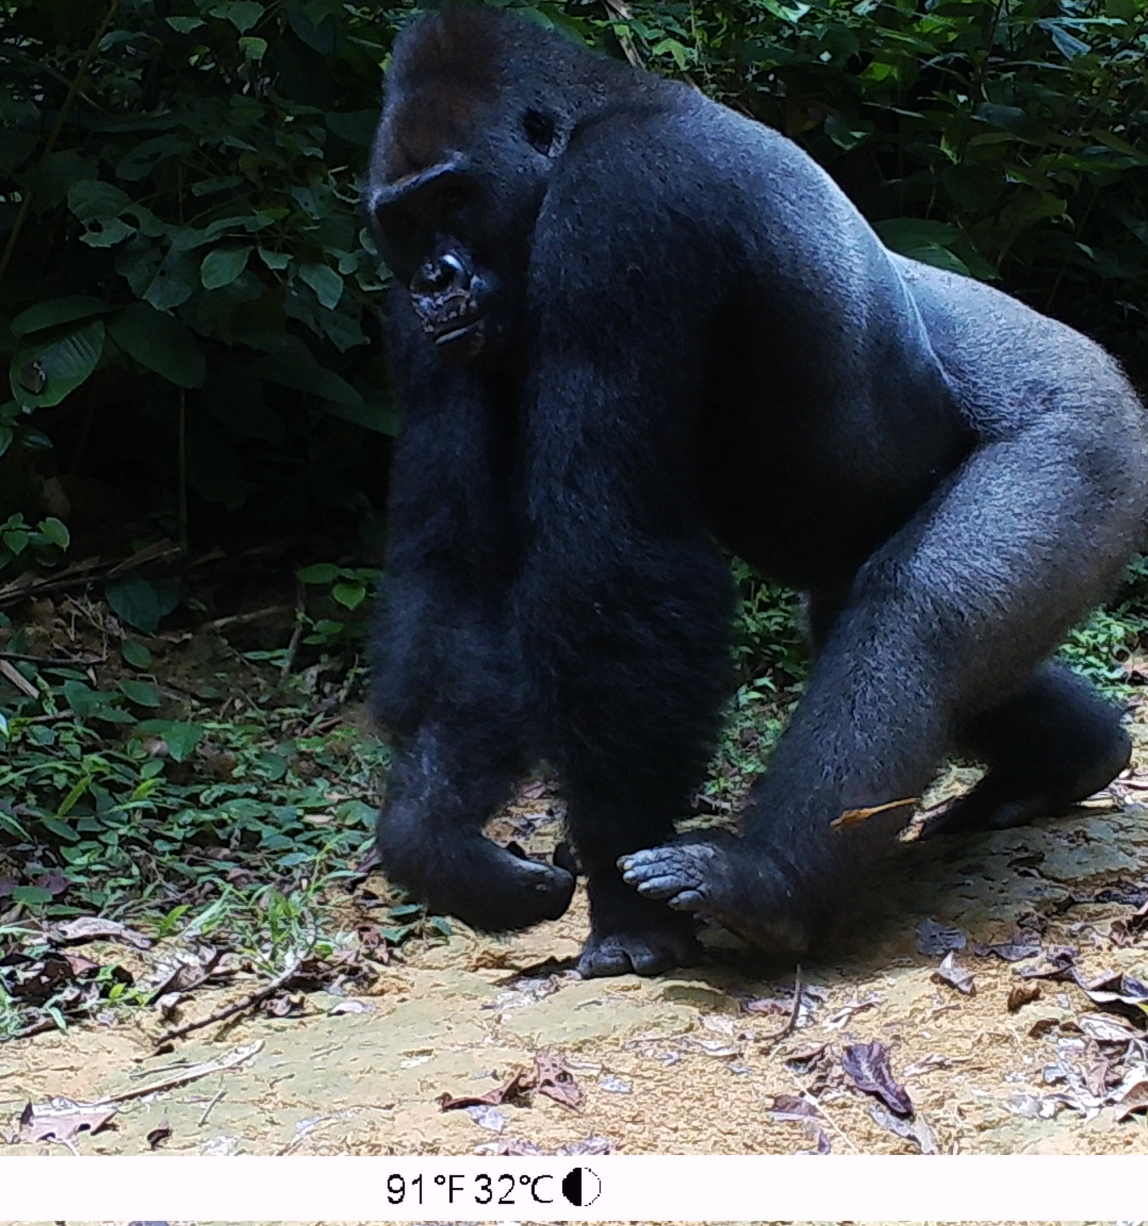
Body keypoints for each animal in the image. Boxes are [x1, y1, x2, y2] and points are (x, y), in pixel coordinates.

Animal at [365, 2, 1148, 975]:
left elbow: (612, 558)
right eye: (404, 220)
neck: (588, 118)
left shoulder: (626, 203)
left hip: (1090, 432)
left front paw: (625, 907)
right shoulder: (417, 325)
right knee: (881, 621)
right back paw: (1074, 759)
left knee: (921, 610)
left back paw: (772, 888)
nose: (435, 280)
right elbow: (462, 573)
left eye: (454, 199)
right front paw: (433, 836)